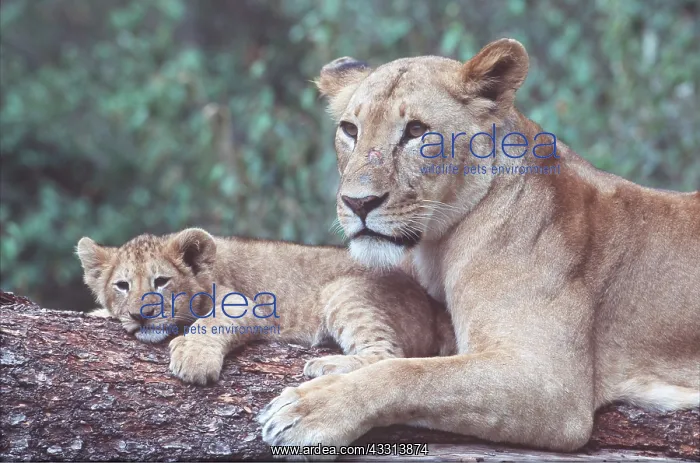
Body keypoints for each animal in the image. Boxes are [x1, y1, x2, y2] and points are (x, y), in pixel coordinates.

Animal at [76, 228, 455, 384]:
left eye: (161, 281)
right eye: (122, 286)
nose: (142, 315)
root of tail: (431, 302)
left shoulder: (247, 304)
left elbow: (207, 325)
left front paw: (194, 360)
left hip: (343, 291)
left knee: (389, 355)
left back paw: (327, 365)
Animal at [257, 38, 700, 453]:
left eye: (416, 131)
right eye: (351, 130)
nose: (358, 203)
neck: (437, 247)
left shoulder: (552, 386)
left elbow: (415, 373)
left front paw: (312, 408)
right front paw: (336, 366)